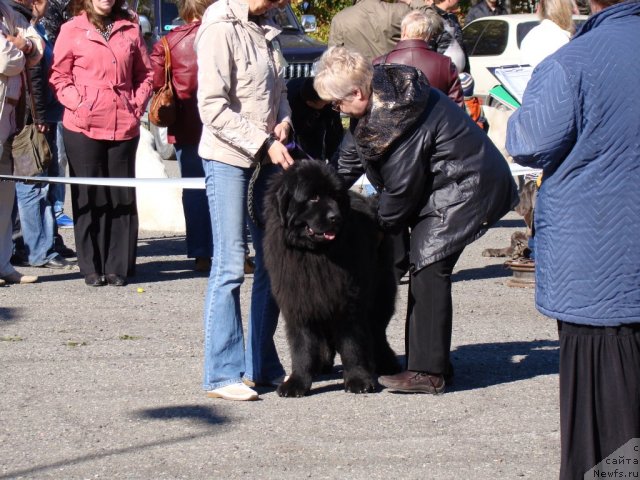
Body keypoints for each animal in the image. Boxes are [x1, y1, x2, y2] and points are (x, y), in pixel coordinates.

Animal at [262, 160, 398, 398]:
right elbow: (302, 345)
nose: (335, 217)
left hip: (380, 291)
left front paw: (358, 380)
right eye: (314, 197)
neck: (314, 255)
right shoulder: (299, 300)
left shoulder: (348, 300)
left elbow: (352, 344)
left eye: (335, 197)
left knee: (377, 330)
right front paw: (298, 382)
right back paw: (321, 364)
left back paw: (386, 363)